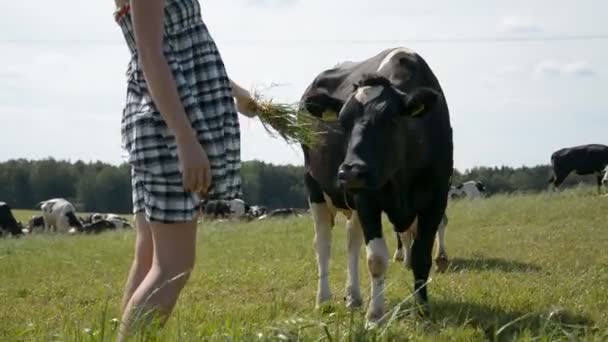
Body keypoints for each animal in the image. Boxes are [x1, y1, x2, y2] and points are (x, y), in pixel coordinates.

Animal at [300, 46, 452, 322]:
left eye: (389, 119)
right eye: (342, 122)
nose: (350, 171)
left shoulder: (436, 198)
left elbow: (422, 256)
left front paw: (422, 309)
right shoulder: (367, 199)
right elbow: (376, 259)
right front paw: (375, 316)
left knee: (351, 241)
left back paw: (354, 297)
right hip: (314, 185)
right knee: (323, 242)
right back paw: (324, 300)